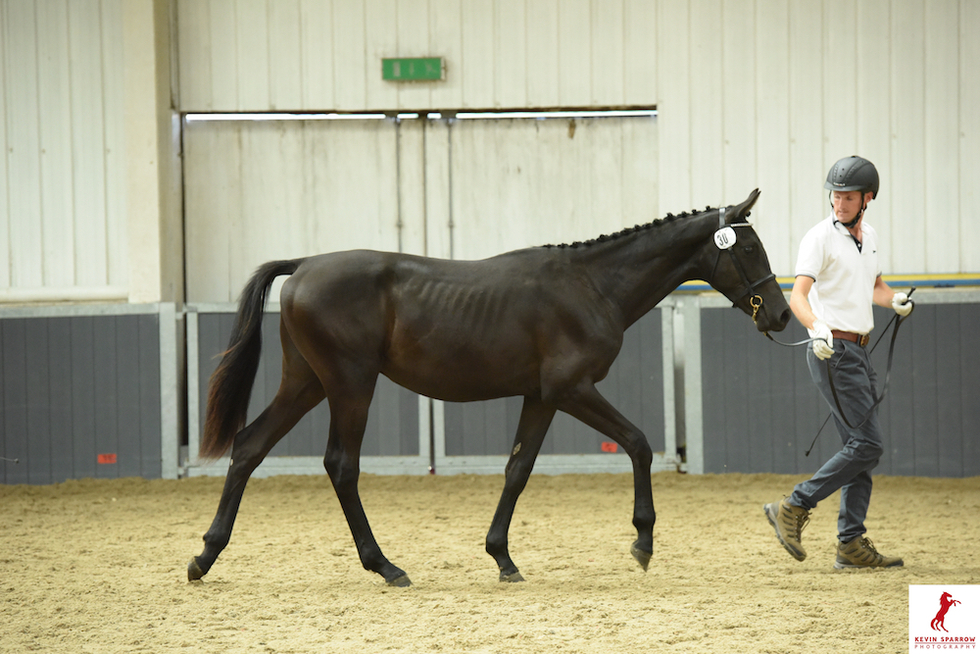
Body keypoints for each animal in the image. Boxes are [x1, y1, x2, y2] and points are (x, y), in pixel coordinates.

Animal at [187, 188, 790, 587]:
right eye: (749, 250)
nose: (782, 315)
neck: (592, 285)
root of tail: (305, 265)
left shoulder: (542, 397)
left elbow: (517, 469)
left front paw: (501, 557)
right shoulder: (573, 389)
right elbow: (639, 443)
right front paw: (642, 541)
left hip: (306, 382)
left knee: (249, 447)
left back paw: (204, 557)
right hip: (349, 385)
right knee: (340, 465)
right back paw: (385, 566)